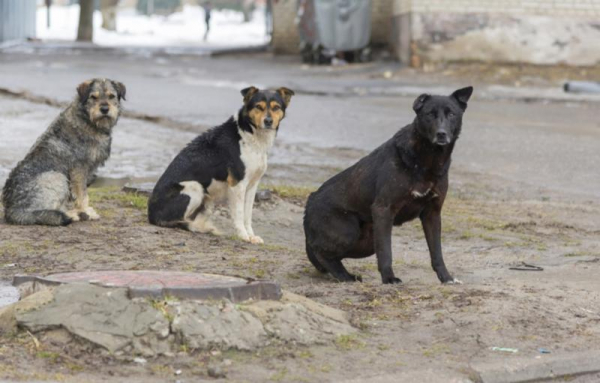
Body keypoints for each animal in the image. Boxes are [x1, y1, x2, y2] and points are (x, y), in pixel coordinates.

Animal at [2, 79, 126, 226]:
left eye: (112, 96)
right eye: (93, 97)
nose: (105, 109)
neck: (87, 120)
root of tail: (12, 210)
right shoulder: (78, 170)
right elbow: (82, 195)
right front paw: (86, 211)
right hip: (57, 177)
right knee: (42, 212)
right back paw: (71, 215)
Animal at [148, 86, 292, 244]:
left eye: (276, 107)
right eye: (258, 107)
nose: (268, 121)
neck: (250, 134)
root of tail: (151, 215)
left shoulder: (252, 185)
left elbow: (248, 215)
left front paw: (251, 236)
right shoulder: (237, 185)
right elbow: (239, 214)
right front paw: (243, 236)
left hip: (207, 200)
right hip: (194, 187)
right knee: (178, 221)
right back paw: (197, 227)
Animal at [304, 87, 474, 284]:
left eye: (452, 114)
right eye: (430, 114)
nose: (441, 134)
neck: (427, 159)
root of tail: (309, 202)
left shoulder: (432, 213)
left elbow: (437, 252)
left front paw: (446, 278)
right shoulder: (383, 209)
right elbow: (386, 250)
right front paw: (389, 278)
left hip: (366, 242)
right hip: (349, 230)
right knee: (322, 253)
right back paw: (344, 276)